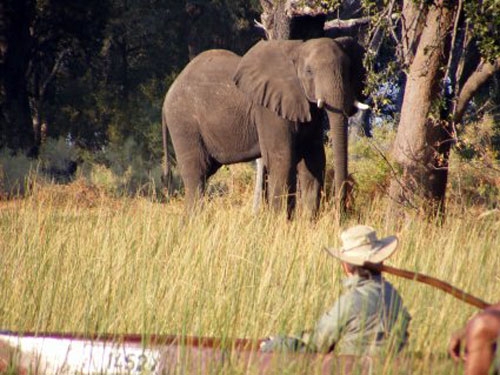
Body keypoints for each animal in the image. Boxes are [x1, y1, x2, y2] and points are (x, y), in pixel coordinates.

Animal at [162, 36, 366, 217]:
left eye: (349, 70)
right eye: (309, 71)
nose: (342, 213)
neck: (298, 49)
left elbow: (314, 159)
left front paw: (308, 225)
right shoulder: (269, 109)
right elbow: (282, 158)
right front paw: (279, 224)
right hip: (183, 122)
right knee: (196, 175)